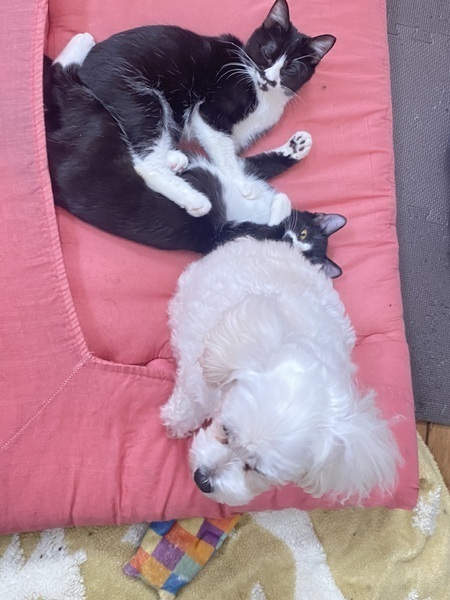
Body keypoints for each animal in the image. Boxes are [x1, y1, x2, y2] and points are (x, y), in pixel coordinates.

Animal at [44, 51, 346, 278]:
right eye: (304, 231)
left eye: (301, 255)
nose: (292, 239)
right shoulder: (240, 179)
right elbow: (256, 166)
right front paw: (298, 147)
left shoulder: (226, 235)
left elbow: (266, 218)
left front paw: (281, 204)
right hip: (102, 124)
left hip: (94, 126)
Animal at [77, 0, 335, 217]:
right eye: (268, 53)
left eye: (291, 70)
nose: (269, 79)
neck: (263, 95)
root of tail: (81, 71)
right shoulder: (210, 112)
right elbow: (224, 153)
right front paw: (244, 185)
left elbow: (236, 155)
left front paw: (296, 146)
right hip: (135, 93)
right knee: (145, 163)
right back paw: (194, 199)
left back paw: (174, 159)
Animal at [161, 237, 401, 506]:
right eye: (225, 431)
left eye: (257, 470)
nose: (202, 480)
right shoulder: (201, 372)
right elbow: (189, 399)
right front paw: (176, 422)